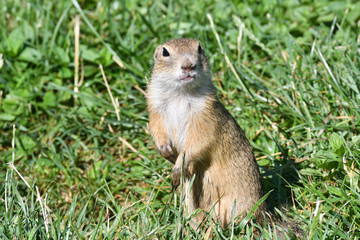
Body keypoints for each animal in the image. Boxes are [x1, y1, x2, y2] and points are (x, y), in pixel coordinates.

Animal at [146, 38, 264, 228]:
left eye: (199, 48)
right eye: (165, 52)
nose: (188, 65)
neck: (181, 93)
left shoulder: (204, 116)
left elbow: (197, 143)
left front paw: (177, 167)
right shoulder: (156, 109)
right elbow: (158, 130)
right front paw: (166, 152)